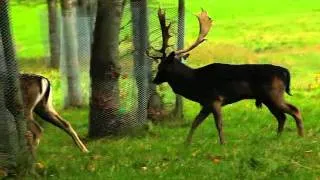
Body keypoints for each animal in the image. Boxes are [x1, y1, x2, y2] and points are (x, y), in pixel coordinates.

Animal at [148, 9, 302, 146]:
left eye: (162, 66)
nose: (154, 80)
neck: (195, 83)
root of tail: (284, 72)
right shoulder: (206, 104)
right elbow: (195, 122)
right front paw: (186, 143)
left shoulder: (215, 99)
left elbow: (219, 124)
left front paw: (223, 144)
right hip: (267, 98)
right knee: (282, 117)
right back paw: (278, 137)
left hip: (274, 93)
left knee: (294, 110)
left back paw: (301, 136)